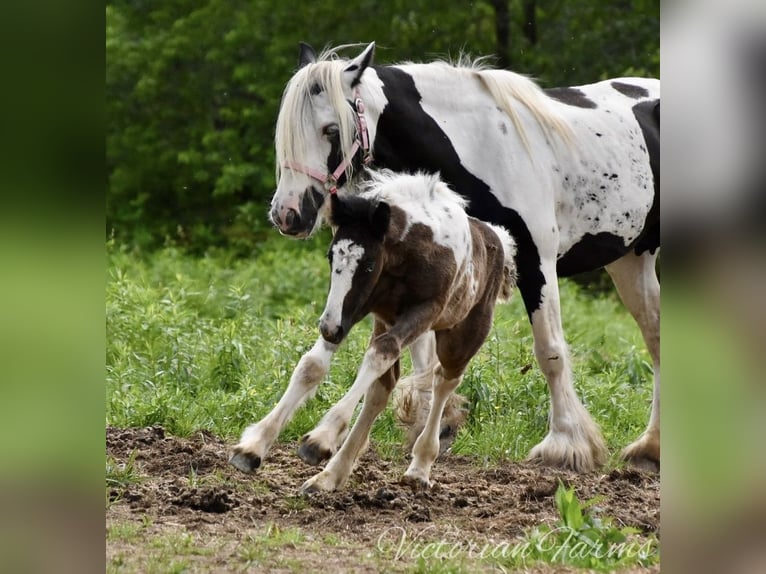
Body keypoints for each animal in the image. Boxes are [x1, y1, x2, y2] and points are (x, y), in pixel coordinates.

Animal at [228, 173, 516, 492]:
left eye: (367, 265)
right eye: (331, 256)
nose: (328, 328)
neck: (417, 249)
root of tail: (499, 241)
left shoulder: (425, 309)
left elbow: (382, 351)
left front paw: (320, 437)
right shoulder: (355, 308)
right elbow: (312, 365)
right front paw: (252, 447)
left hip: (460, 337)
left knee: (443, 381)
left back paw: (419, 466)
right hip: (382, 320)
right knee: (381, 390)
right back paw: (330, 476)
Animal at [255, 40, 664, 472]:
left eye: (331, 129)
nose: (288, 213)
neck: (480, 147)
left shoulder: (536, 261)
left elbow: (550, 351)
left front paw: (565, 443)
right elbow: (416, 354)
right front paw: (432, 425)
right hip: (631, 260)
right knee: (656, 336)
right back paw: (650, 447)